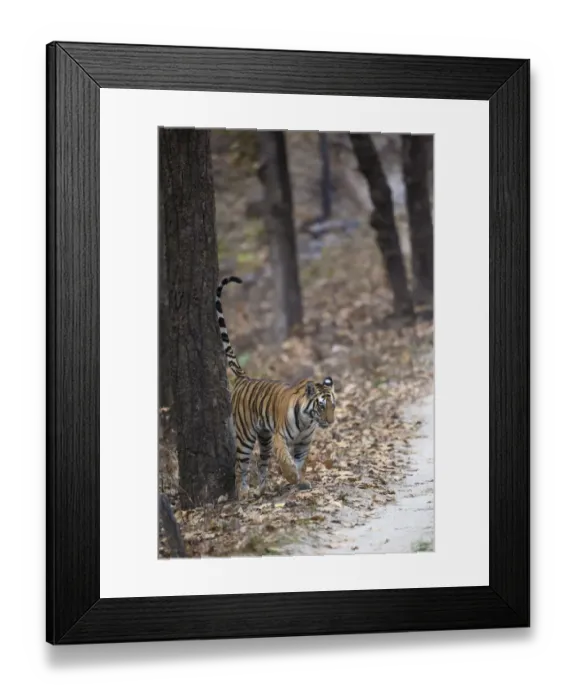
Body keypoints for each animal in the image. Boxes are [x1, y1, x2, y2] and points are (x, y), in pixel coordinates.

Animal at [216, 276, 336, 500]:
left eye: (334, 406)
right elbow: (286, 462)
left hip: (264, 438)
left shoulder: (304, 443)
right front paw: (292, 478)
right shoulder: (280, 438)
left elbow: (301, 463)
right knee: (241, 464)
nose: (331, 422)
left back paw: (262, 490)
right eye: (322, 406)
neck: (308, 420)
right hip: (246, 436)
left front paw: (301, 481)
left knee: (261, 462)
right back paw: (244, 492)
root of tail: (244, 378)